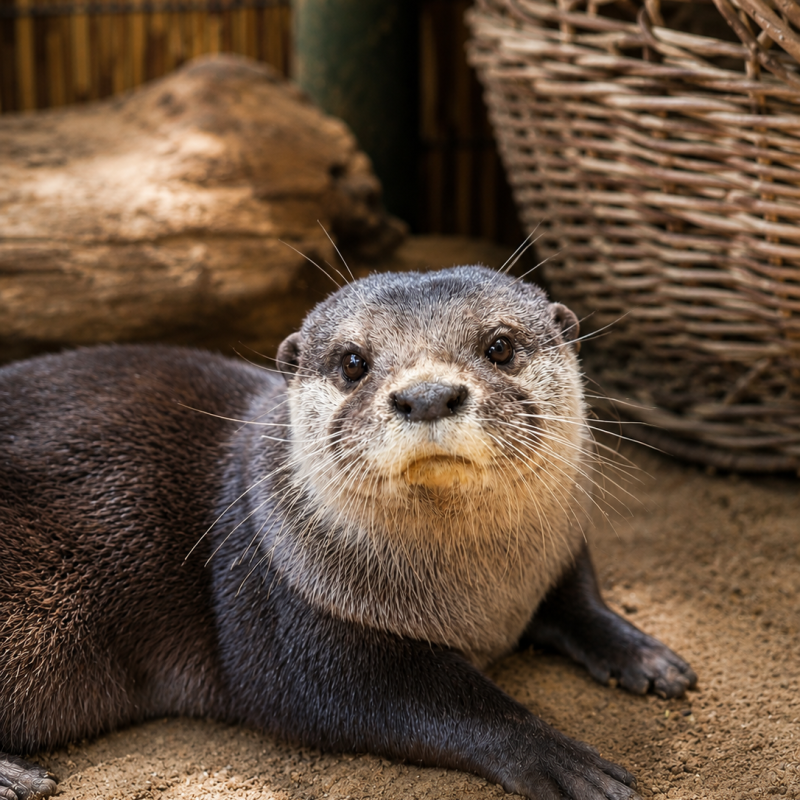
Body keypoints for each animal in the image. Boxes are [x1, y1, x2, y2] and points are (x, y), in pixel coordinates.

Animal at [0, 266, 695, 800]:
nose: (427, 394)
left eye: (499, 346)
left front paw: (645, 655)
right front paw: (567, 760)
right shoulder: (298, 624)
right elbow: (445, 704)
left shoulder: (558, 552)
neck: (485, 603)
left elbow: (580, 598)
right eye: (353, 362)